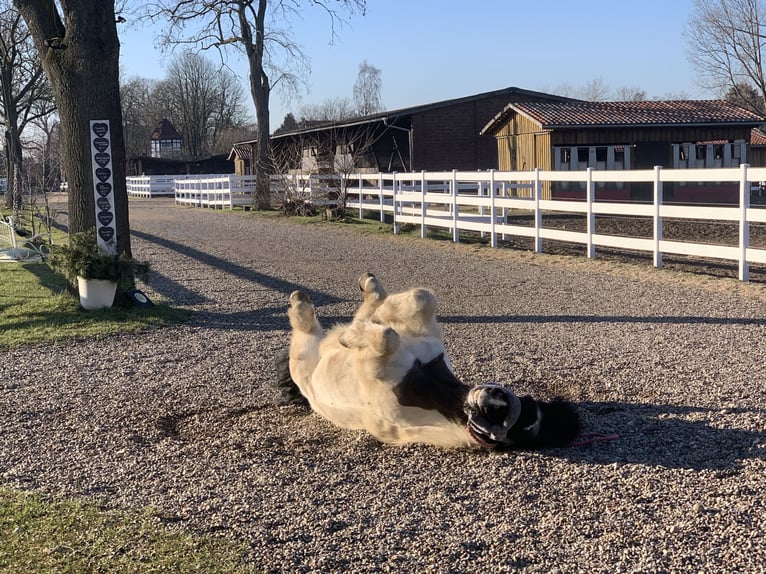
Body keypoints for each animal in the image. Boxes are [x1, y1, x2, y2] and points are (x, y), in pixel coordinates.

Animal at [276, 273, 580, 450]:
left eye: (500, 415)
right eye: (505, 401)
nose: (489, 395)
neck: (431, 383)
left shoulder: (373, 373)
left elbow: (387, 337)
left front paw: (353, 336)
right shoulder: (427, 337)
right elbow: (421, 298)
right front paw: (376, 316)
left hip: (306, 364)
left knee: (306, 334)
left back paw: (304, 307)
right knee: (368, 309)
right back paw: (369, 292)